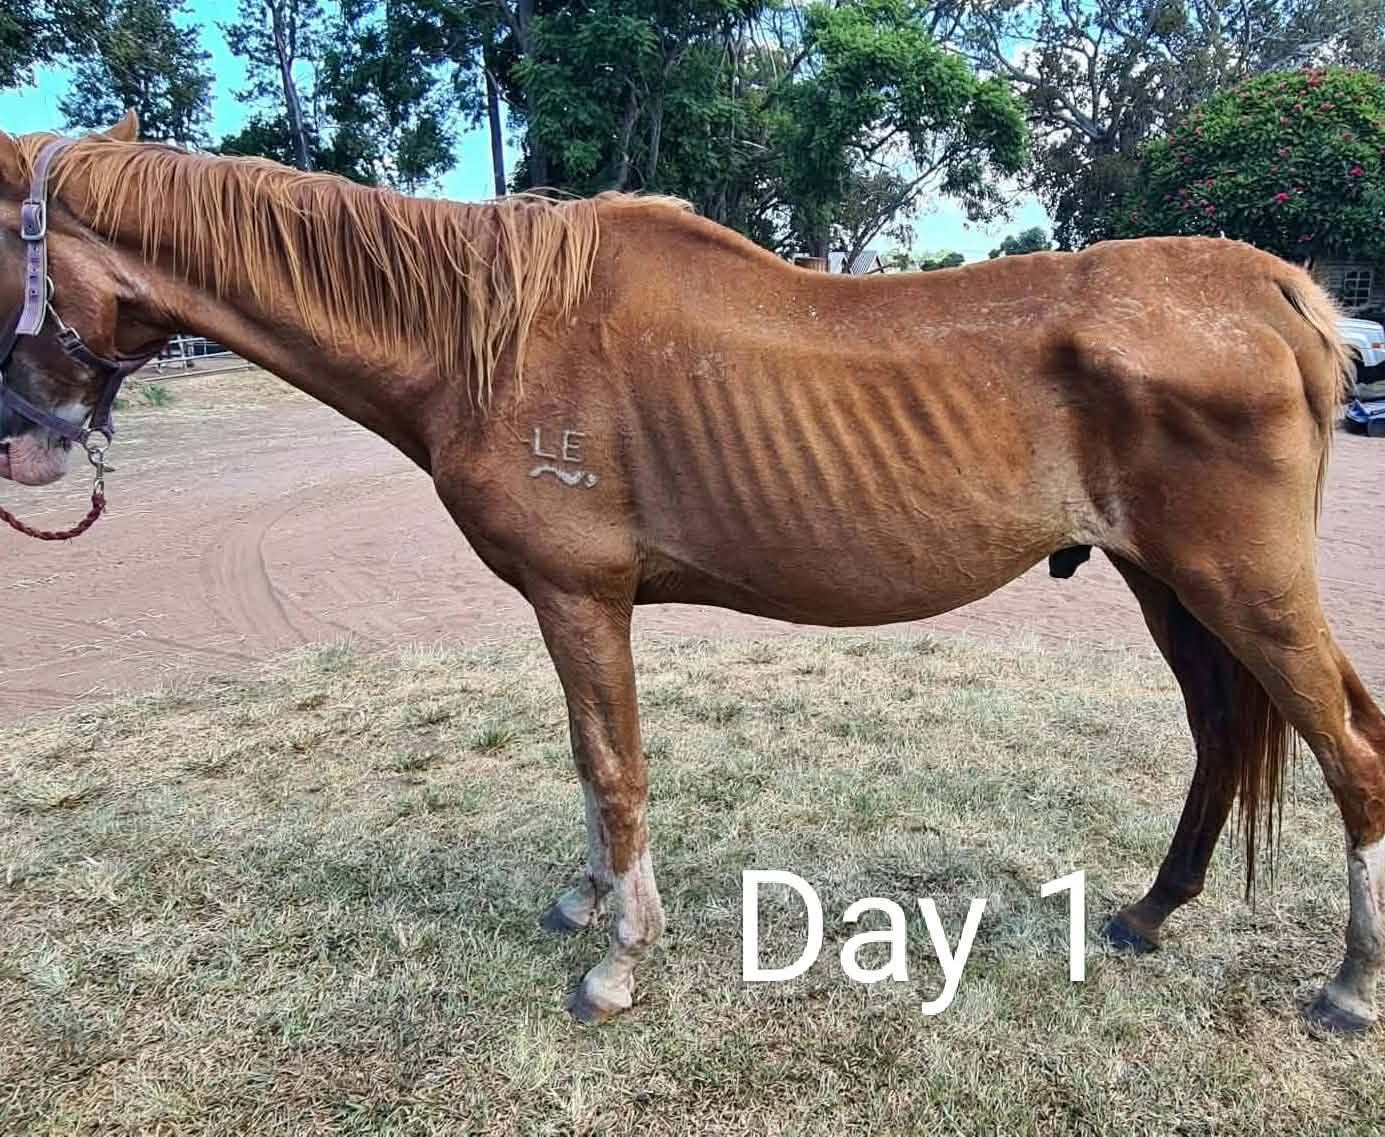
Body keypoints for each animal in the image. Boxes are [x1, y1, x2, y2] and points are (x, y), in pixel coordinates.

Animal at [3, 115, 1383, 1033]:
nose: (27, 446)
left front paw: (617, 961)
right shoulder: (571, 606)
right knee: (1221, 736)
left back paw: (1346, 987)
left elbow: (611, 766)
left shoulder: (578, 597)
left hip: (1240, 589)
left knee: (1348, 754)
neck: (489, 336)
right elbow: (586, 760)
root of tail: (1274, 289)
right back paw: (1148, 914)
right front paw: (585, 903)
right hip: (1169, 588)